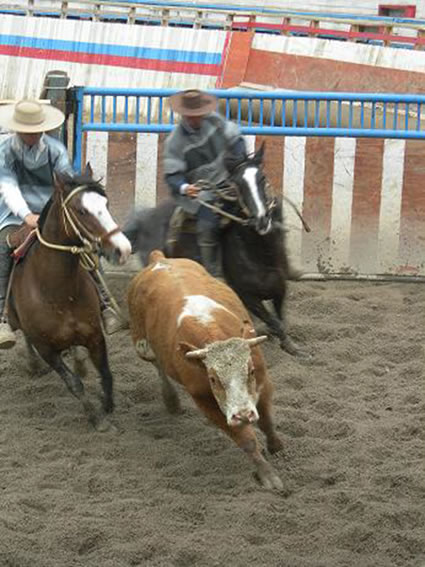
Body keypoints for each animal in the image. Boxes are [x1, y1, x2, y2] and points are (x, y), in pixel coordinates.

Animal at [7, 171, 131, 428]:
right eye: (81, 211)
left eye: (106, 204)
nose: (123, 249)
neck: (57, 290)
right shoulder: (46, 349)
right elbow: (73, 383)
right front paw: (96, 418)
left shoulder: (95, 336)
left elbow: (106, 374)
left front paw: (107, 407)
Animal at [124, 143, 298, 356]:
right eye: (237, 185)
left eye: (262, 178)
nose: (261, 219)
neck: (261, 255)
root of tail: (145, 219)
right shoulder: (246, 295)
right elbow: (273, 321)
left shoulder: (280, 287)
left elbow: (279, 319)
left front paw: (289, 344)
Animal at [127, 251, 284, 490]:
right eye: (212, 379)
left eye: (250, 371)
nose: (243, 415)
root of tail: (158, 259)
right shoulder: (205, 402)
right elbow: (247, 440)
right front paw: (268, 475)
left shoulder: (263, 383)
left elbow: (266, 421)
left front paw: (276, 446)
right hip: (141, 344)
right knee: (156, 363)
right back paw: (171, 400)